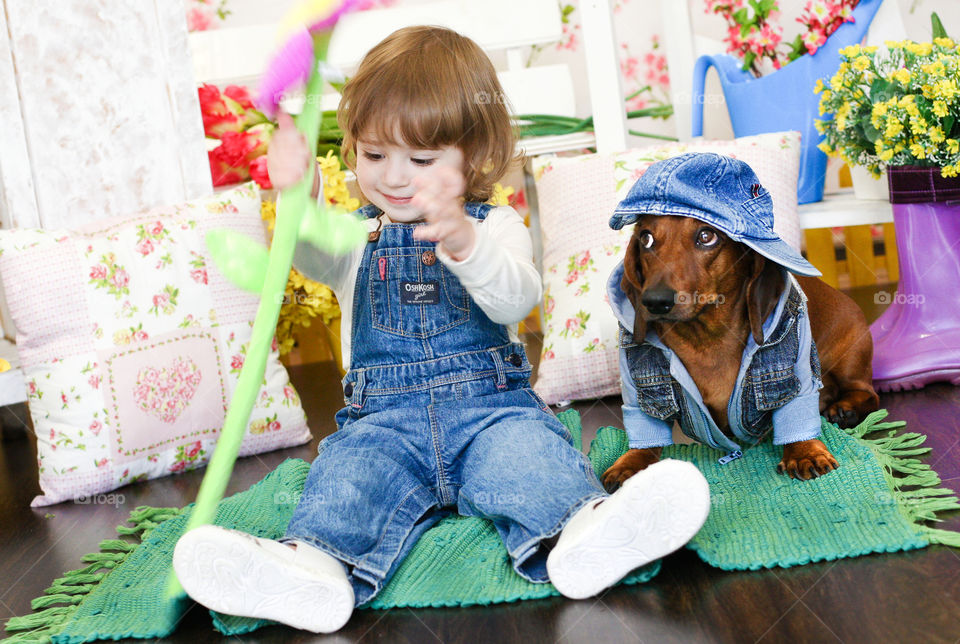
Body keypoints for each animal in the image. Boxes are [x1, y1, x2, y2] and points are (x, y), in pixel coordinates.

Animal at [604, 215, 880, 488]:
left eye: (707, 236)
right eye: (646, 239)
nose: (654, 301)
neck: (706, 339)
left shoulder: (797, 365)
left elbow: (796, 406)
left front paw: (805, 452)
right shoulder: (635, 384)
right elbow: (642, 423)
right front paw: (630, 464)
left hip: (850, 356)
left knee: (867, 393)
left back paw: (845, 409)